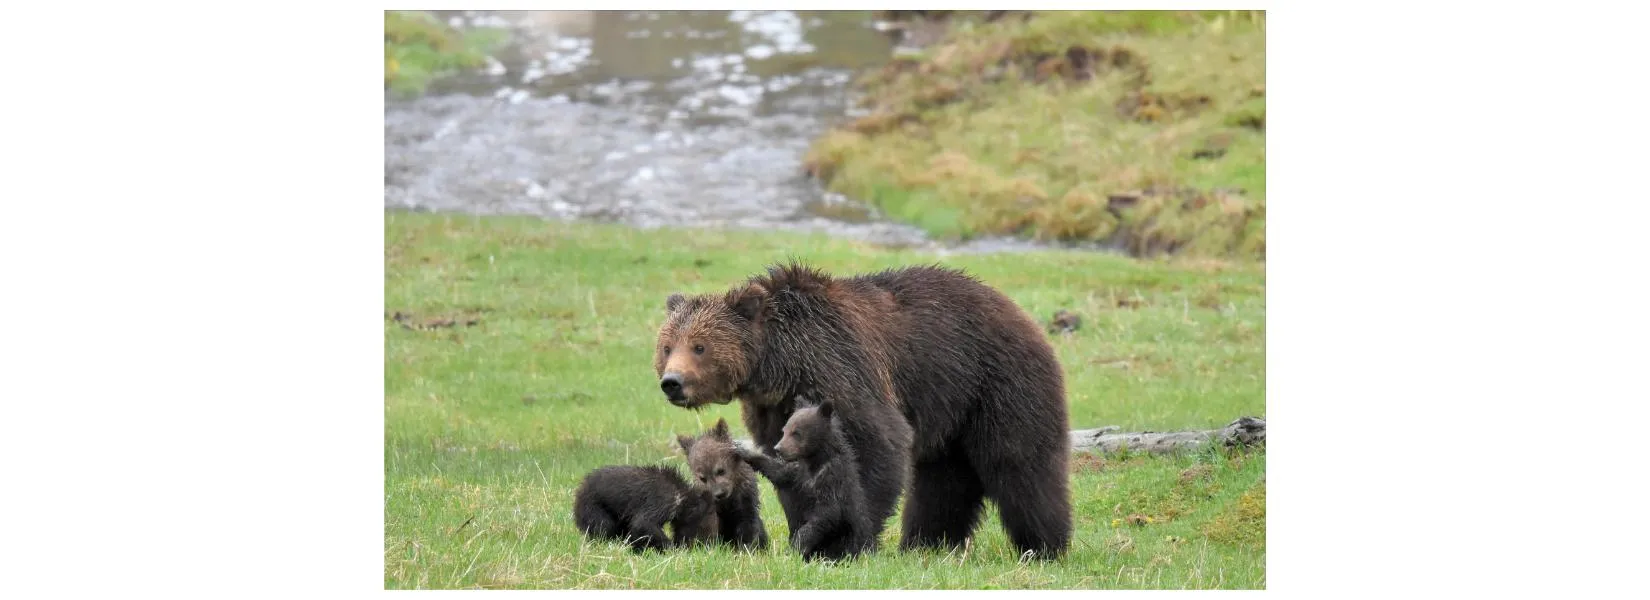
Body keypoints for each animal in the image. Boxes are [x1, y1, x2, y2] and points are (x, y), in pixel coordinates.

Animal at [572, 465, 718, 553]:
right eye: (703, 527)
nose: (709, 545)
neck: (682, 498)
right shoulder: (663, 500)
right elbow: (643, 523)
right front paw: (671, 549)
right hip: (593, 507)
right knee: (603, 527)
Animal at [676, 418, 770, 551]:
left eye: (721, 470)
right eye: (702, 478)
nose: (719, 494)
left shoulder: (745, 498)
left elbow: (748, 524)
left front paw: (746, 548)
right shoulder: (710, 507)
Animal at [736, 397, 876, 562]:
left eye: (796, 432)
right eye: (784, 430)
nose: (778, 449)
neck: (814, 462)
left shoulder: (832, 478)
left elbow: (827, 513)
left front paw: (795, 548)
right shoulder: (798, 474)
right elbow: (778, 472)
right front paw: (743, 451)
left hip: (850, 537)